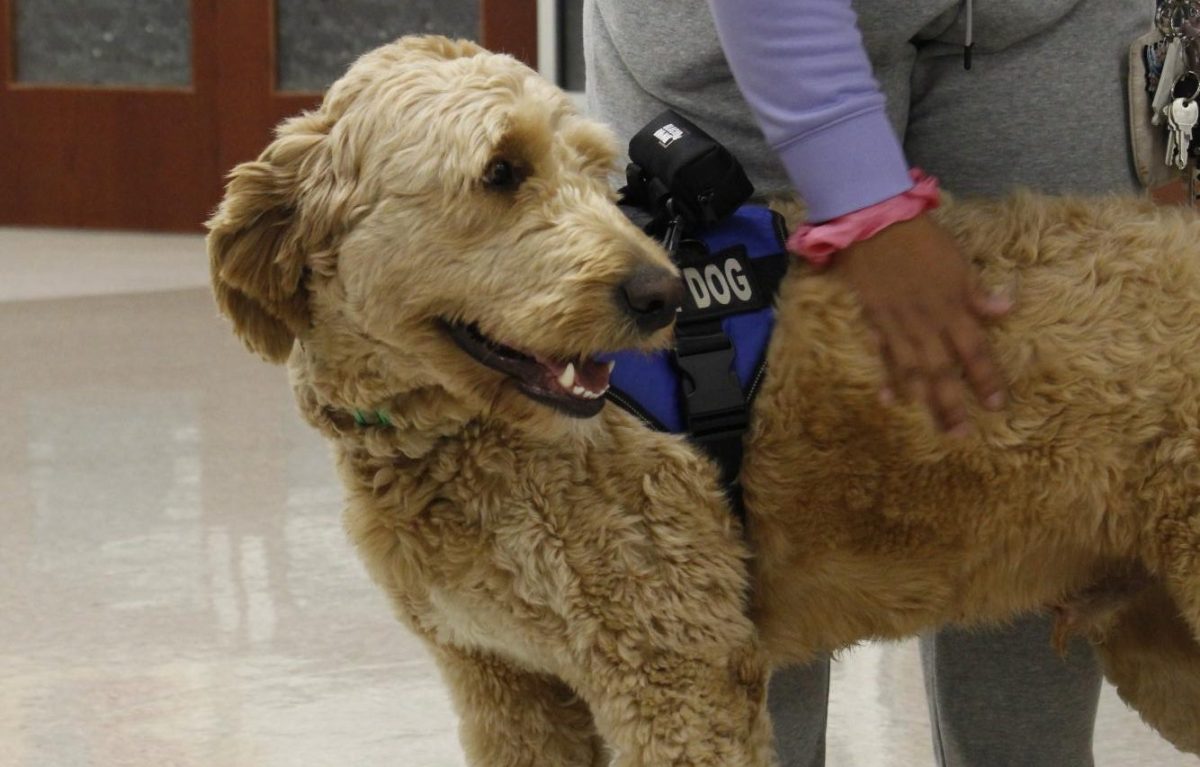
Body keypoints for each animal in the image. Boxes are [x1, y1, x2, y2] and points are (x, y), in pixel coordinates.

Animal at [211, 34, 1200, 763]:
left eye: (591, 169)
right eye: (499, 171)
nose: (657, 295)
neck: (448, 438)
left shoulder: (674, 671)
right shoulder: (507, 685)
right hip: (1156, 637)